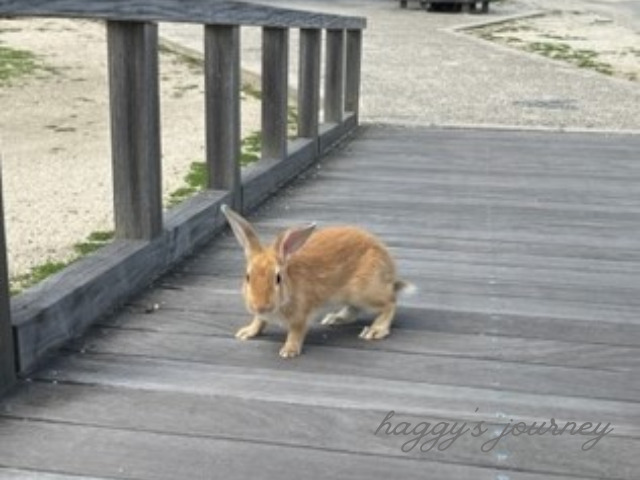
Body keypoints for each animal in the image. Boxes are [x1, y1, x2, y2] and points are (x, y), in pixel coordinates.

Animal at [220, 204, 412, 358]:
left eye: (278, 278)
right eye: (247, 276)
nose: (260, 306)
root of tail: (389, 269)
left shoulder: (301, 315)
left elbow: (296, 332)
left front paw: (289, 351)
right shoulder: (262, 316)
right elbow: (259, 322)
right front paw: (246, 332)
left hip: (364, 291)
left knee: (390, 303)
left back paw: (375, 330)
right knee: (354, 309)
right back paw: (335, 318)